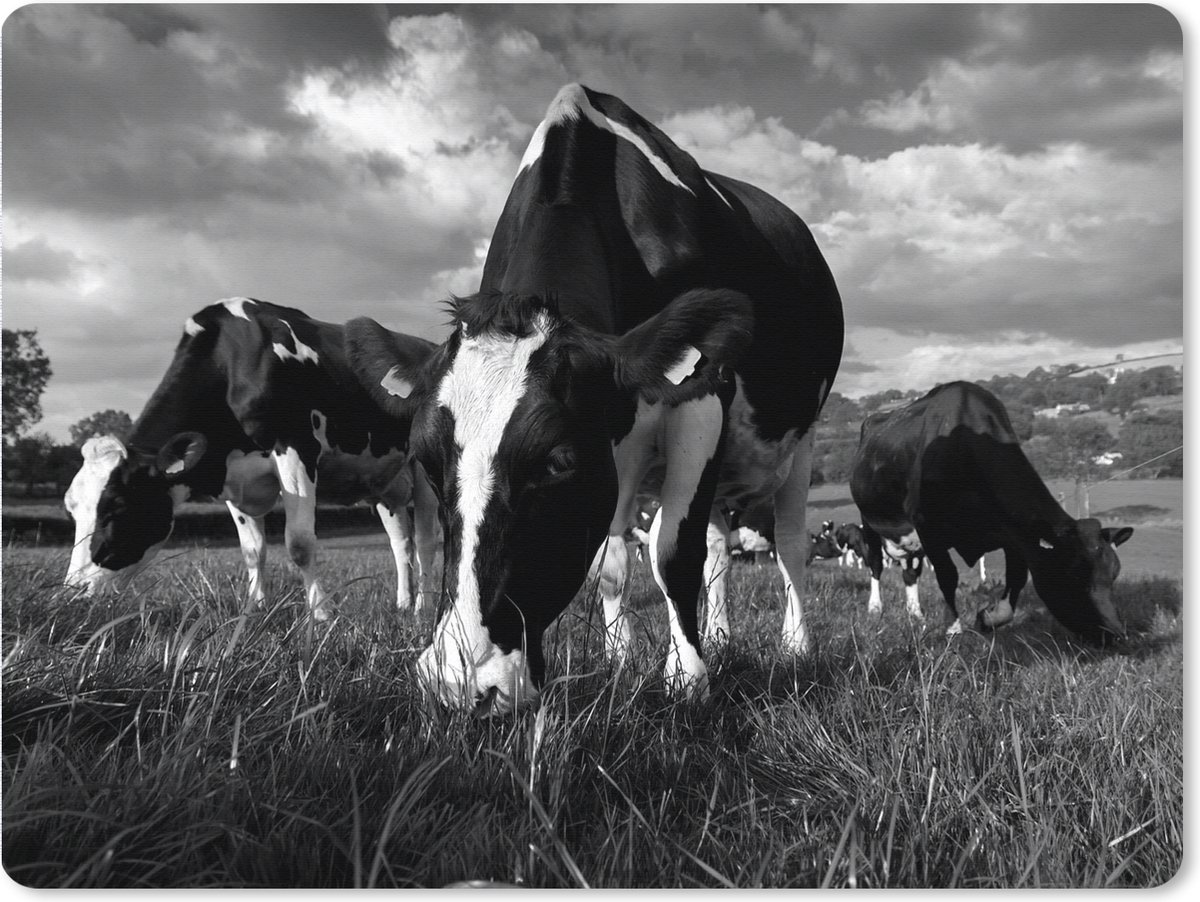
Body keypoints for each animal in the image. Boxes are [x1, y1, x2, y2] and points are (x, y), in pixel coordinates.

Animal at [63, 298, 442, 617]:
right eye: (71, 509)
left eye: (117, 508)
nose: (73, 591)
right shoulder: (232, 478)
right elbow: (252, 550)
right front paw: (254, 608)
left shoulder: (296, 450)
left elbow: (300, 543)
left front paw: (320, 613)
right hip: (384, 483)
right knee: (401, 542)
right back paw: (403, 603)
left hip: (424, 471)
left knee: (426, 540)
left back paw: (423, 607)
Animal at [346, 83, 843, 713]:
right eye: (428, 463)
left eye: (558, 462)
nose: (461, 684)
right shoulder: (618, 445)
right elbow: (613, 564)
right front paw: (622, 659)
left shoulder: (702, 398)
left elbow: (672, 550)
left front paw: (687, 680)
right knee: (716, 547)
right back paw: (721, 638)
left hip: (801, 439)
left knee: (791, 543)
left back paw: (796, 646)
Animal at [849, 381, 1133, 640]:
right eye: (1073, 576)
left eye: (1114, 574)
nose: (1117, 635)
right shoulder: (928, 526)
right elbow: (947, 576)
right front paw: (953, 628)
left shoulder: (1013, 532)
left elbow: (1016, 578)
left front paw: (988, 618)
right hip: (869, 520)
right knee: (875, 564)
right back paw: (875, 608)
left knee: (910, 571)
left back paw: (915, 613)